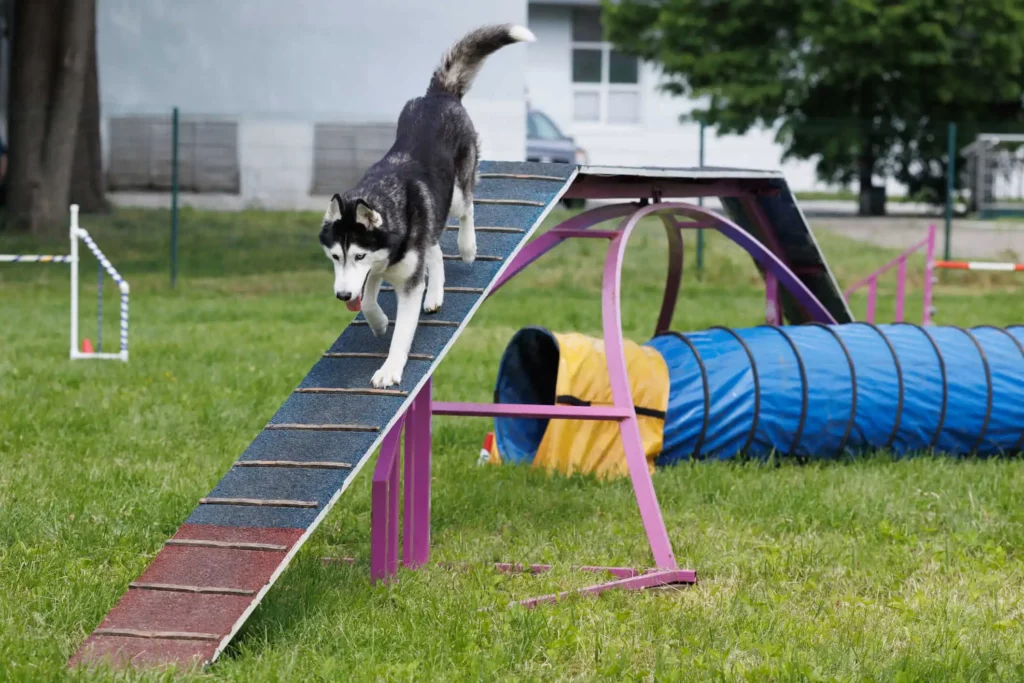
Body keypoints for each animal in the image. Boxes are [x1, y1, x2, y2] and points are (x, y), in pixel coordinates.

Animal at [319, 24, 536, 387]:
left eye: (358, 256)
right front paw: (379, 321)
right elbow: (369, 300)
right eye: (336, 257)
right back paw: (434, 294)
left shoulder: (403, 279)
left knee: (467, 208)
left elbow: (402, 333)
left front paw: (390, 369)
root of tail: (439, 95)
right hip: (431, 215)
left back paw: (467, 247)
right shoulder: (378, 269)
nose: (342, 296)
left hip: (456, 194)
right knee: (433, 249)